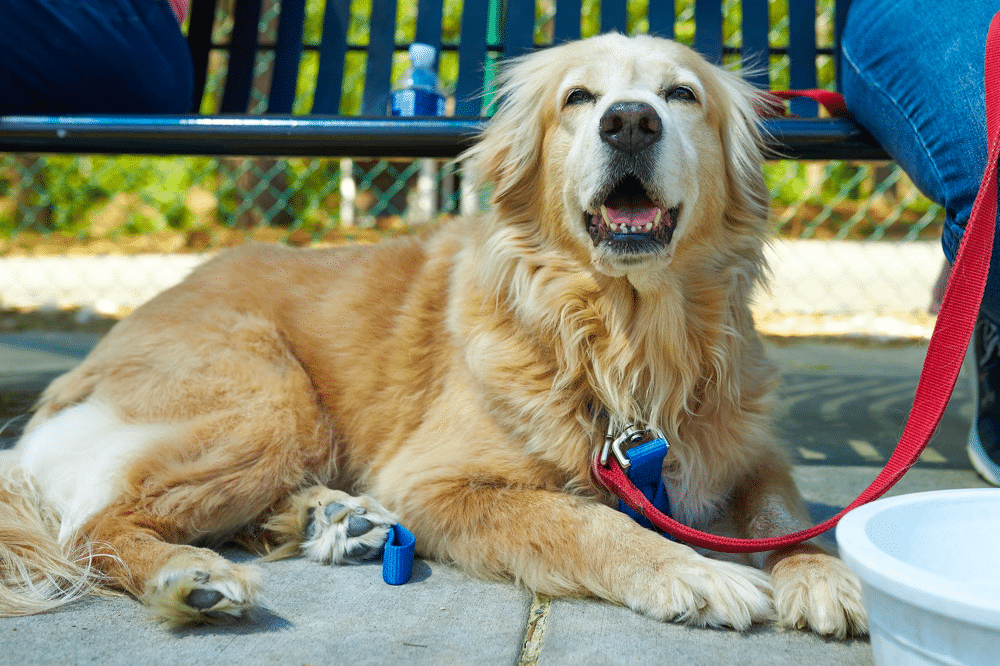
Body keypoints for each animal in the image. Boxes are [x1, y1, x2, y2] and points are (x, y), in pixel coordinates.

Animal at [0, 35, 864, 632]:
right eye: (579, 98)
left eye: (682, 94)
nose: (628, 121)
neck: (622, 337)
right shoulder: (433, 482)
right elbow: (580, 519)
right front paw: (689, 571)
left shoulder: (749, 448)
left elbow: (784, 513)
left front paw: (826, 575)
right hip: (273, 401)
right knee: (94, 528)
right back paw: (191, 576)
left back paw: (327, 521)